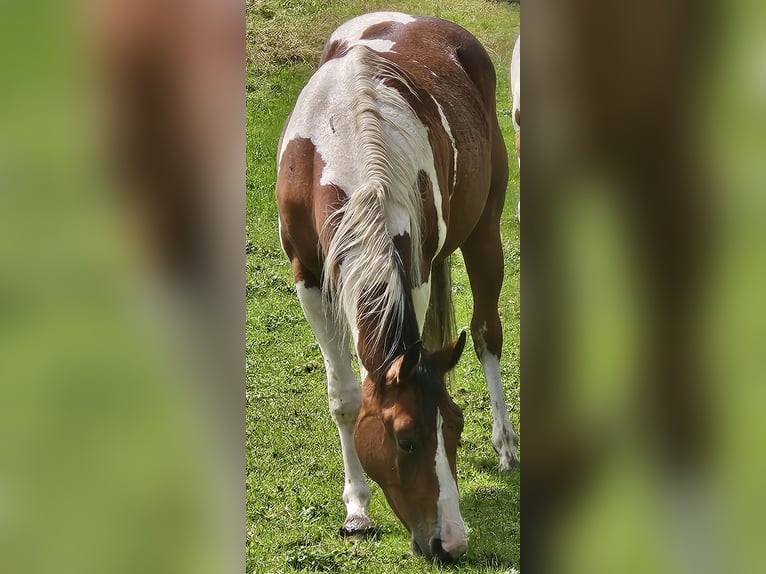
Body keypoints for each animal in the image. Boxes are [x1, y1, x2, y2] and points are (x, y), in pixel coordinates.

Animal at [275, 12, 519, 561]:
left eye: (455, 427)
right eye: (406, 440)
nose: (451, 542)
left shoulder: (416, 272)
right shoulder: (308, 279)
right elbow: (345, 396)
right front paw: (357, 508)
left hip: (485, 232)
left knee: (487, 333)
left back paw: (506, 444)